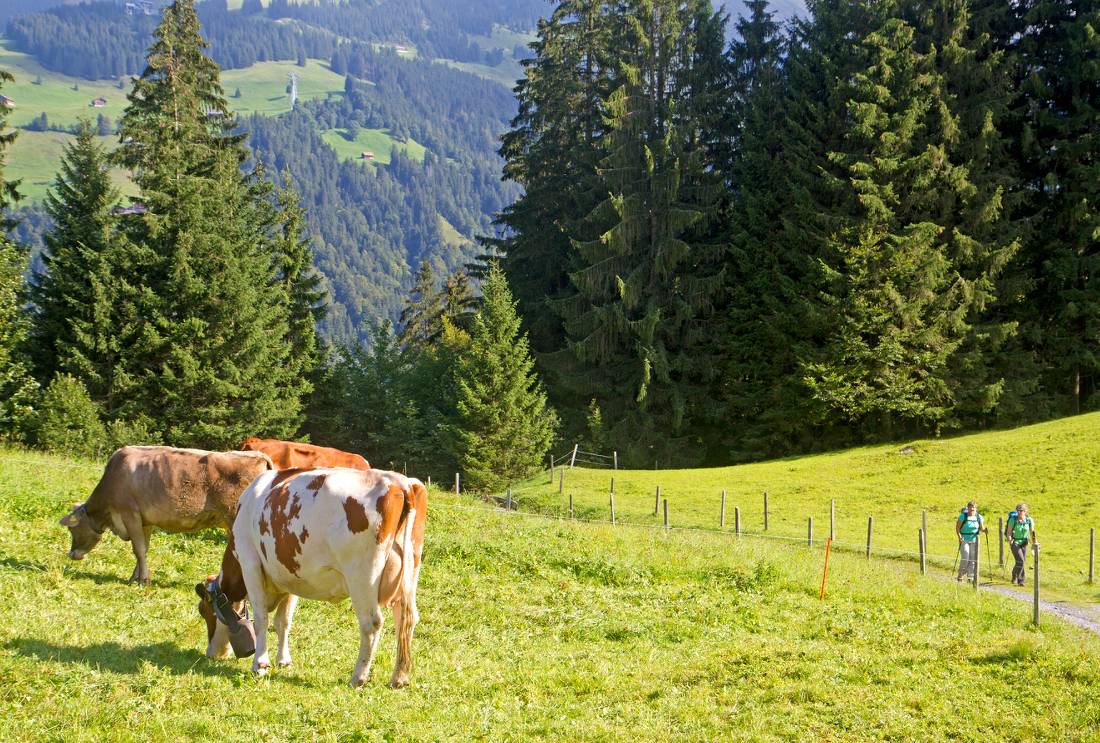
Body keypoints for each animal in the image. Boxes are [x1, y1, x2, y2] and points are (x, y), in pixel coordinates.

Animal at [60, 444, 275, 585]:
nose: (72, 554)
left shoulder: (129, 514)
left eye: (73, 530)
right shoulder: (144, 520)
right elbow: (143, 549)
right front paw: (135, 577)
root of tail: (258, 455)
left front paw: (143, 580)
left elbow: (138, 549)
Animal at [198, 468, 424, 686]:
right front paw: (284, 661)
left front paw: (260, 664)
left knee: (372, 623)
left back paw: (358, 676)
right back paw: (399, 678)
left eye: (205, 611)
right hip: (409, 572)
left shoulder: (250, 563)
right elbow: (283, 621)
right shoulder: (289, 575)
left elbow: (261, 620)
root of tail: (399, 481)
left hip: (362, 576)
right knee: (406, 618)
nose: (211, 654)